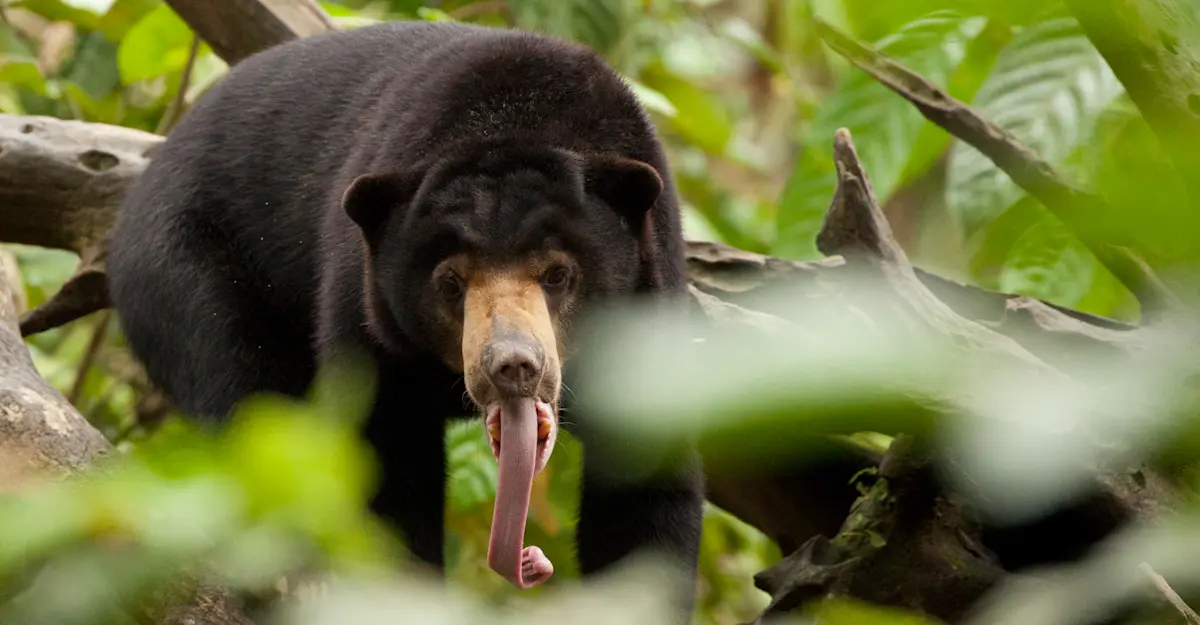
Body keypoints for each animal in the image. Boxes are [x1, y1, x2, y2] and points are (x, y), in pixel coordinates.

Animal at [105, 18, 705, 618]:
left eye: (558, 274)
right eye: (451, 282)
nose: (512, 365)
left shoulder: (652, 309)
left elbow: (646, 486)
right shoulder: (367, 316)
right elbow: (384, 455)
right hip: (181, 264)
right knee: (246, 392)